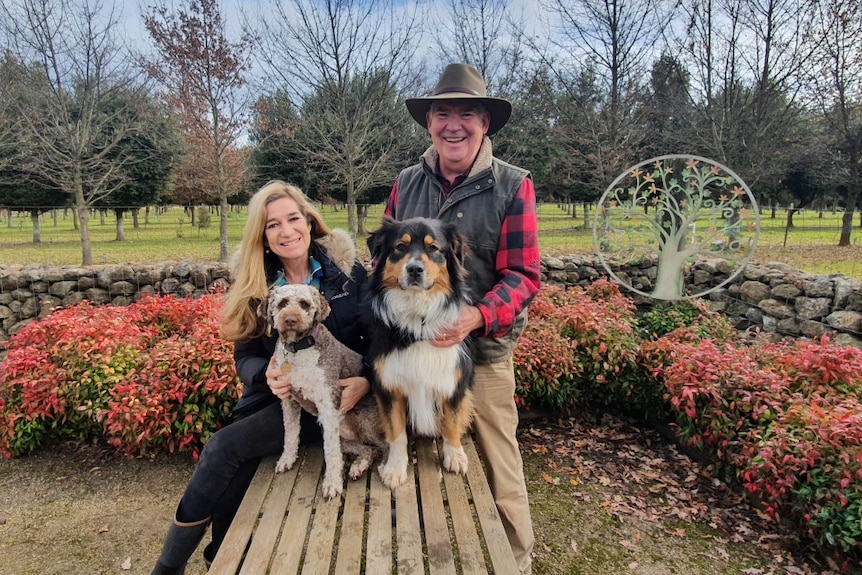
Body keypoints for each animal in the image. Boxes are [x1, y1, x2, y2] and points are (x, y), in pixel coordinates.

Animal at [362, 218, 476, 488]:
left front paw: (454, 455)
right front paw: (394, 468)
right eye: (400, 247)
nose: (414, 269)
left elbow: (451, 421)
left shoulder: (453, 380)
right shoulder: (388, 385)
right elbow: (396, 432)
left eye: (433, 248)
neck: (417, 317)